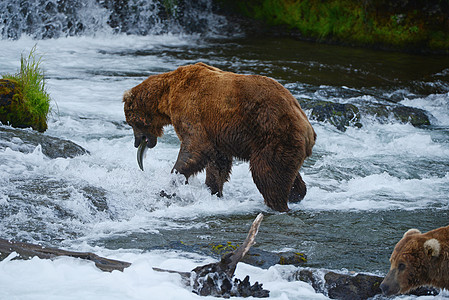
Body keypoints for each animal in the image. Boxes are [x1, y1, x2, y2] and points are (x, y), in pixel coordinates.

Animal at [121, 62, 314, 212]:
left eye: (131, 123)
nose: (136, 142)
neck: (166, 96)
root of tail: (308, 128)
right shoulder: (217, 134)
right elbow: (218, 162)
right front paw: (214, 191)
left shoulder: (191, 110)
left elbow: (194, 148)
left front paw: (168, 187)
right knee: (287, 173)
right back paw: (297, 194)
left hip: (273, 135)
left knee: (267, 174)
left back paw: (278, 204)